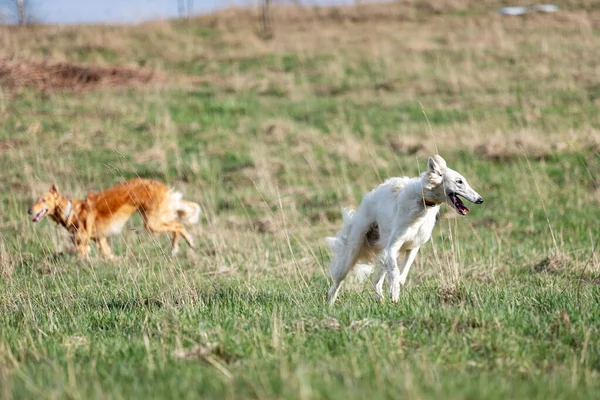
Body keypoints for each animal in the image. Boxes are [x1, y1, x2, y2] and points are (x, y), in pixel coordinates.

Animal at [29, 179, 202, 260]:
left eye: (43, 200)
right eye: (36, 200)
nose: (29, 210)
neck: (71, 211)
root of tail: (162, 186)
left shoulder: (83, 240)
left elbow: (83, 254)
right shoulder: (101, 240)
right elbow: (109, 256)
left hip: (152, 224)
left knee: (178, 226)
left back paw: (178, 247)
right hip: (155, 221)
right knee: (179, 226)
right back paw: (184, 246)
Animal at [326, 155, 486, 304]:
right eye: (459, 181)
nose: (480, 200)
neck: (422, 202)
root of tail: (371, 195)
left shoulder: (412, 246)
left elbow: (401, 276)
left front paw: (394, 290)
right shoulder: (393, 246)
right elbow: (395, 272)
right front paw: (394, 292)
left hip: (384, 252)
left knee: (376, 281)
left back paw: (380, 299)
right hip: (354, 249)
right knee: (338, 281)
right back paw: (330, 303)